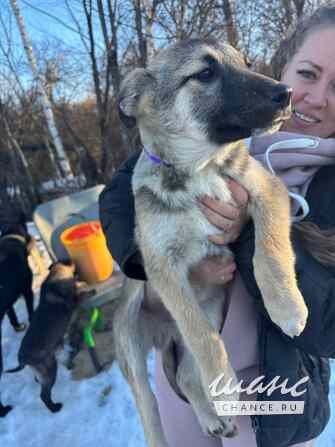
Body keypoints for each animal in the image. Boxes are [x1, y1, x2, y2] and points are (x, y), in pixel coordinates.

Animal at [6, 260, 92, 414]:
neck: (55, 275)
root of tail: (23, 359)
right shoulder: (73, 301)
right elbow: (79, 292)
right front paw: (86, 288)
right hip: (49, 368)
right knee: (43, 395)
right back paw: (54, 408)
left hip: (47, 363)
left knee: (40, 378)